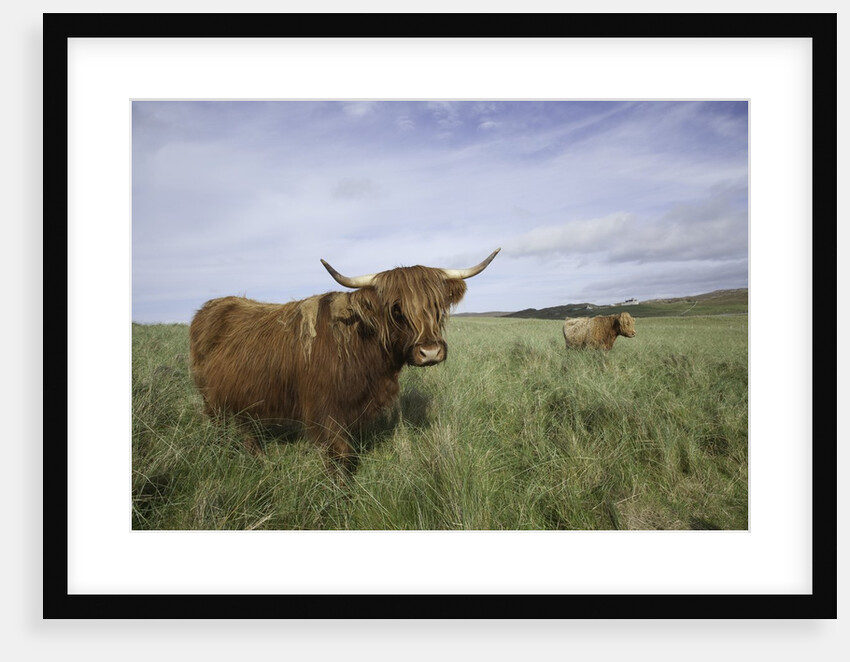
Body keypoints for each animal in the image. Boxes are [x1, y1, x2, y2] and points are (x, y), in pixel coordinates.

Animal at [189, 248, 500, 477]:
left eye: (437, 307)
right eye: (396, 309)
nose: (431, 351)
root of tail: (209, 306)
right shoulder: (325, 411)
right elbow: (340, 454)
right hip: (211, 398)